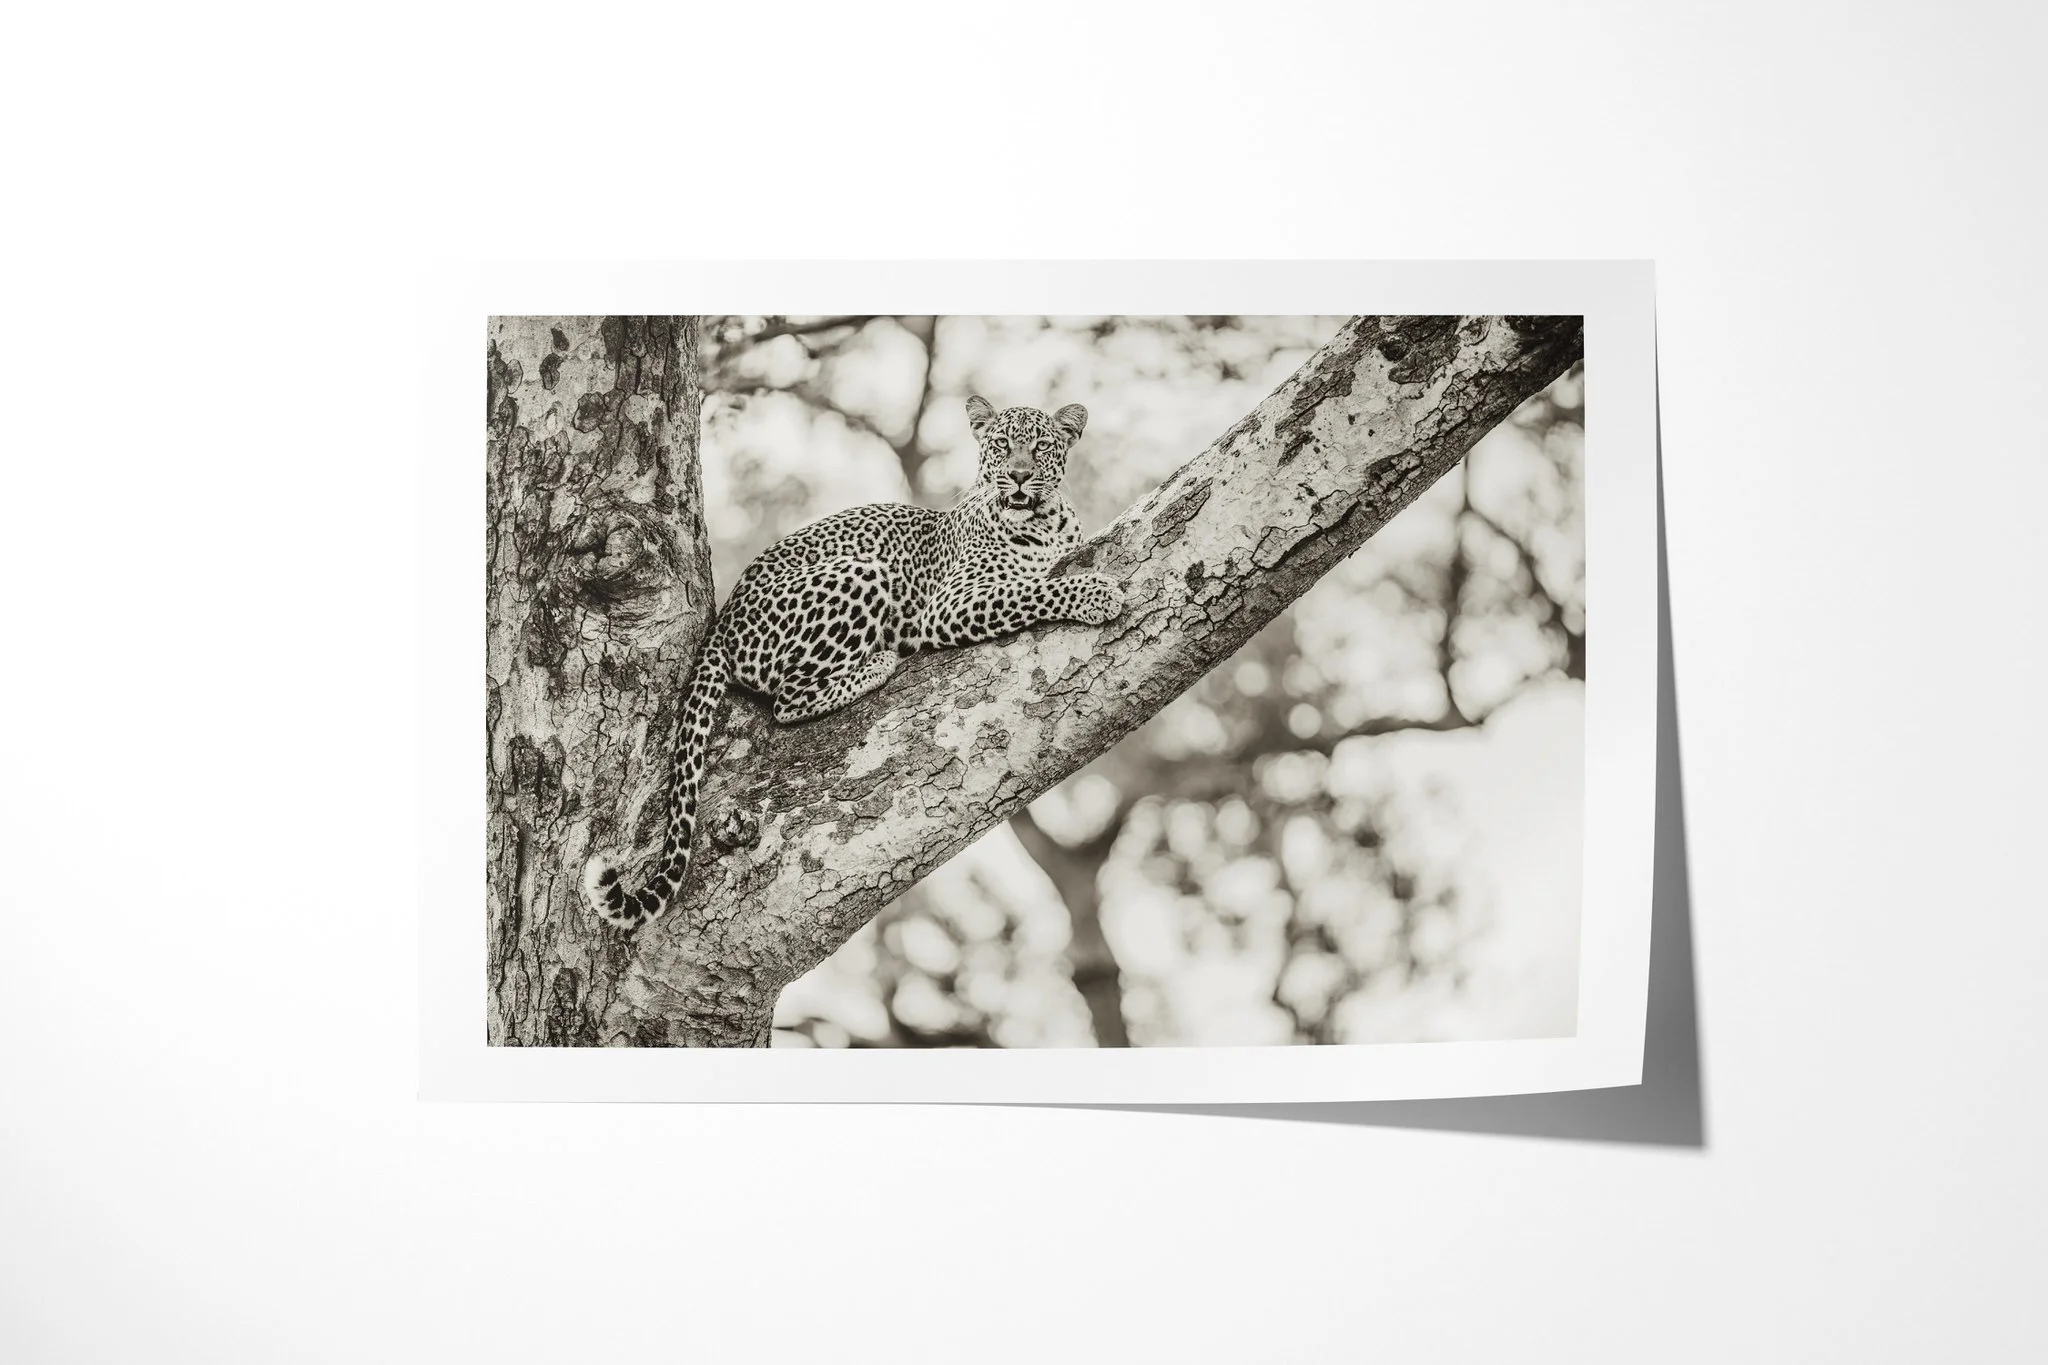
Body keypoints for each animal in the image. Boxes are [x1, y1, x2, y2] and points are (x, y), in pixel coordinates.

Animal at [583, 395, 1126, 931]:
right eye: (1000, 446)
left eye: (1041, 448)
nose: (1017, 476)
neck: (1043, 522)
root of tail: (722, 624)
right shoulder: (949, 604)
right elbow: (1031, 590)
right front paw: (1095, 593)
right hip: (863, 571)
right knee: (787, 699)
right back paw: (877, 663)